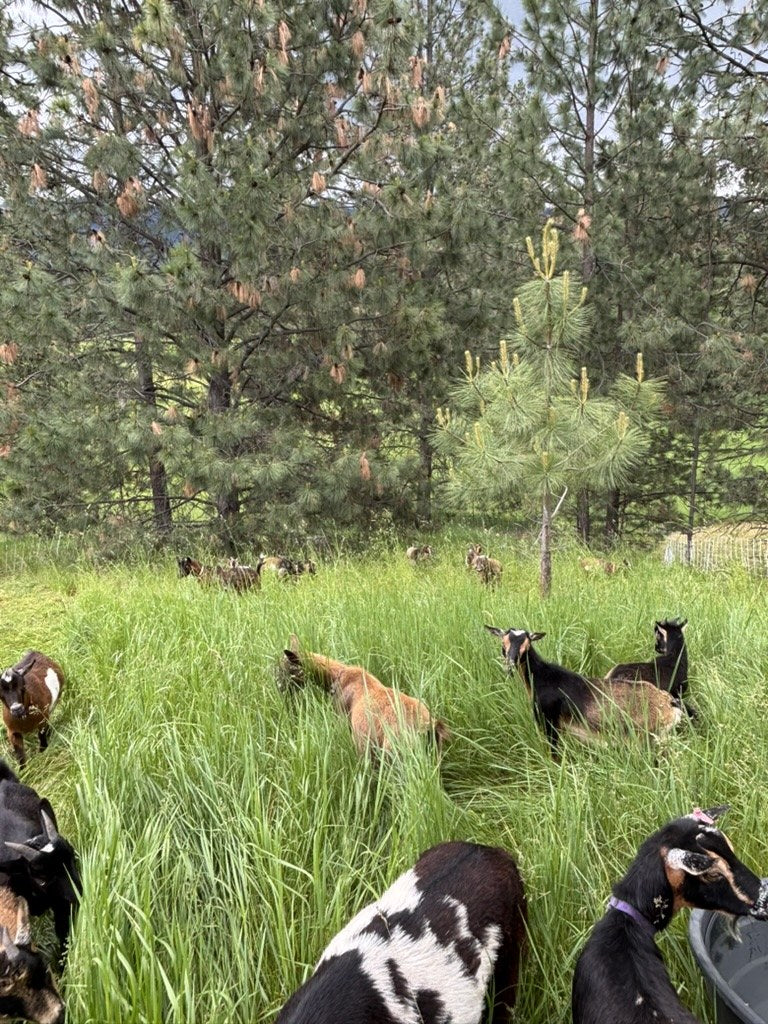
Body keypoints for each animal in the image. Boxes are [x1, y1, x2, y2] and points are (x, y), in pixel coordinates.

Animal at [485, 626, 681, 758]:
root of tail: (669, 704)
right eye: (503, 644)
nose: (510, 666)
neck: (543, 677)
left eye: (526, 645)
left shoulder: (550, 723)